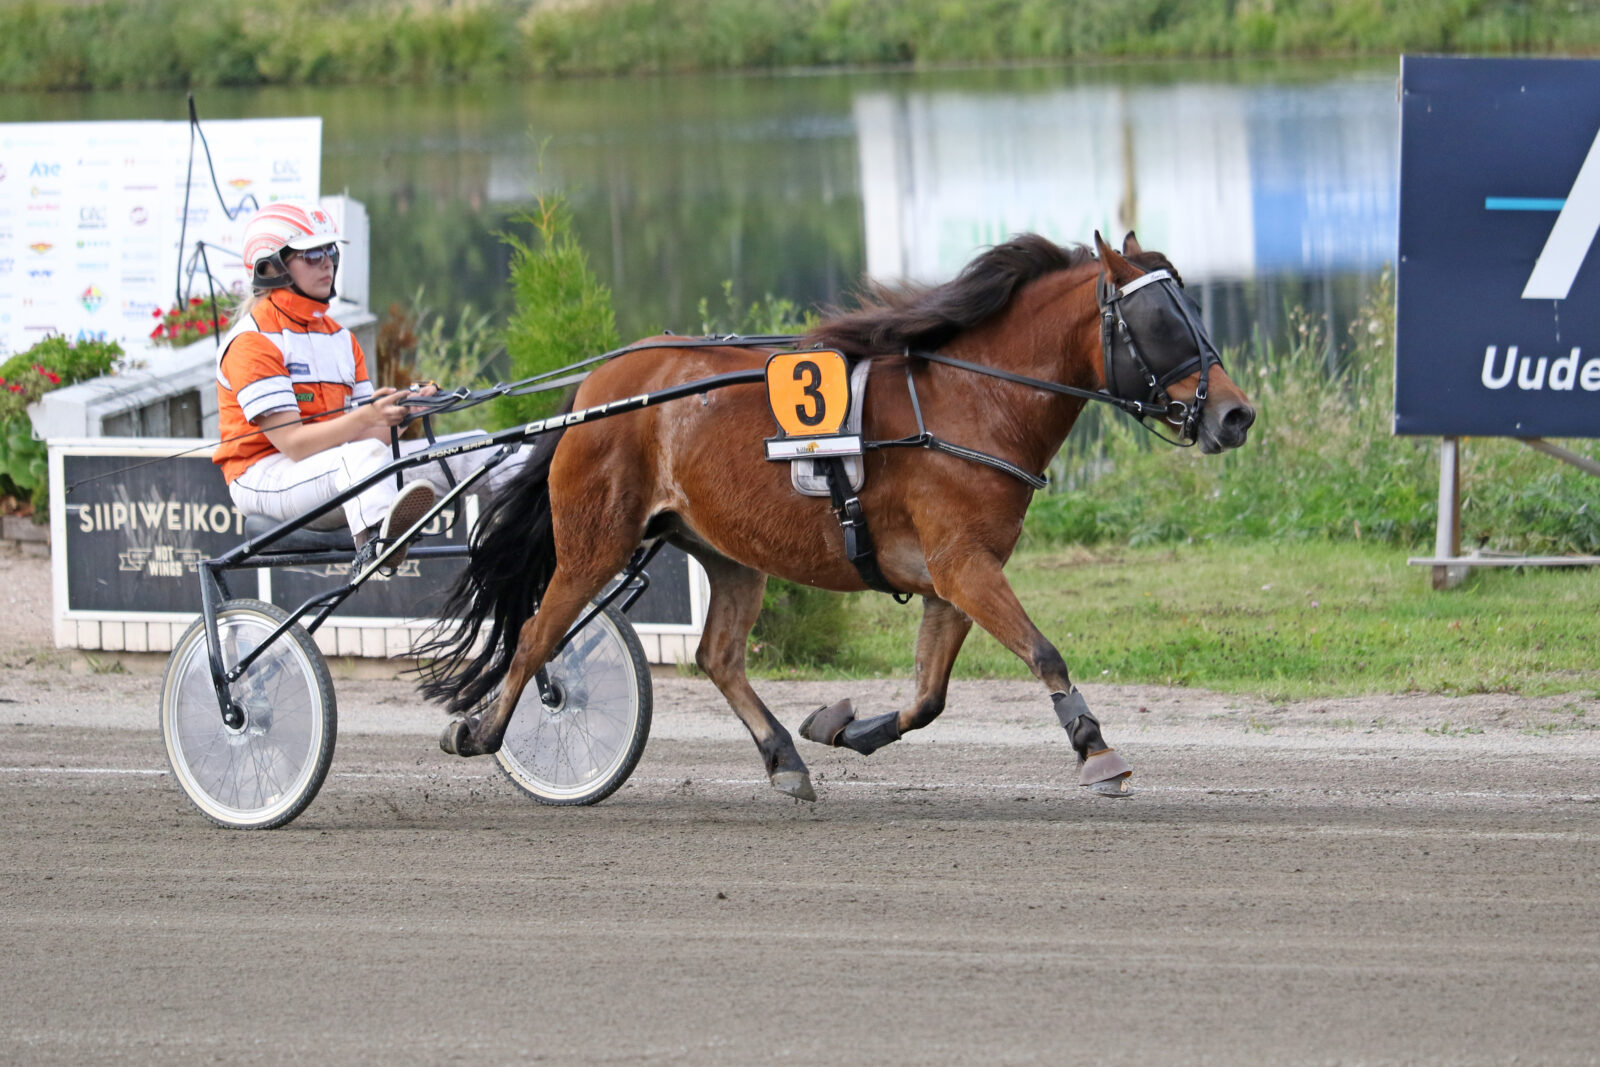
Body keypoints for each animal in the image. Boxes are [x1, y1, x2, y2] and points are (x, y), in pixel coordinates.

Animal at [419, 231, 1254, 799]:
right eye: (1163, 320)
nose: (1237, 414)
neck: (971, 400)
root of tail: (599, 387)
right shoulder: (964, 564)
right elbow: (1043, 652)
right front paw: (1096, 748)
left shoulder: (953, 577)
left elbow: (928, 697)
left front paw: (840, 725)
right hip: (597, 539)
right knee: (538, 631)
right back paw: (482, 730)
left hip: (727, 551)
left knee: (717, 655)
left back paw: (784, 757)